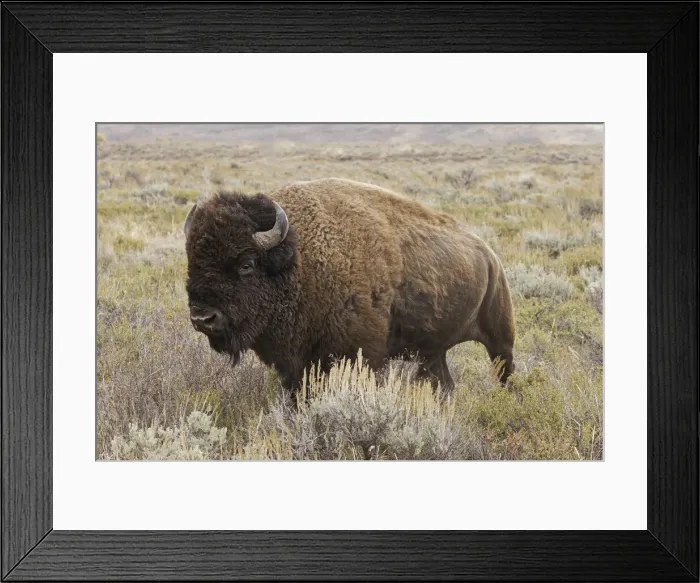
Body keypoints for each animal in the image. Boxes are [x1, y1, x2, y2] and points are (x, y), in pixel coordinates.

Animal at [184, 178, 515, 396]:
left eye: (247, 264)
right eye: (192, 260)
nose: (203, 318)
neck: (300, 261)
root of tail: (490, 256)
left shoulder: (362, 357)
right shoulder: (297, 364)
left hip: (500, 338)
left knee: (504, 371)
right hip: (434, 352)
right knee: (444, 383)